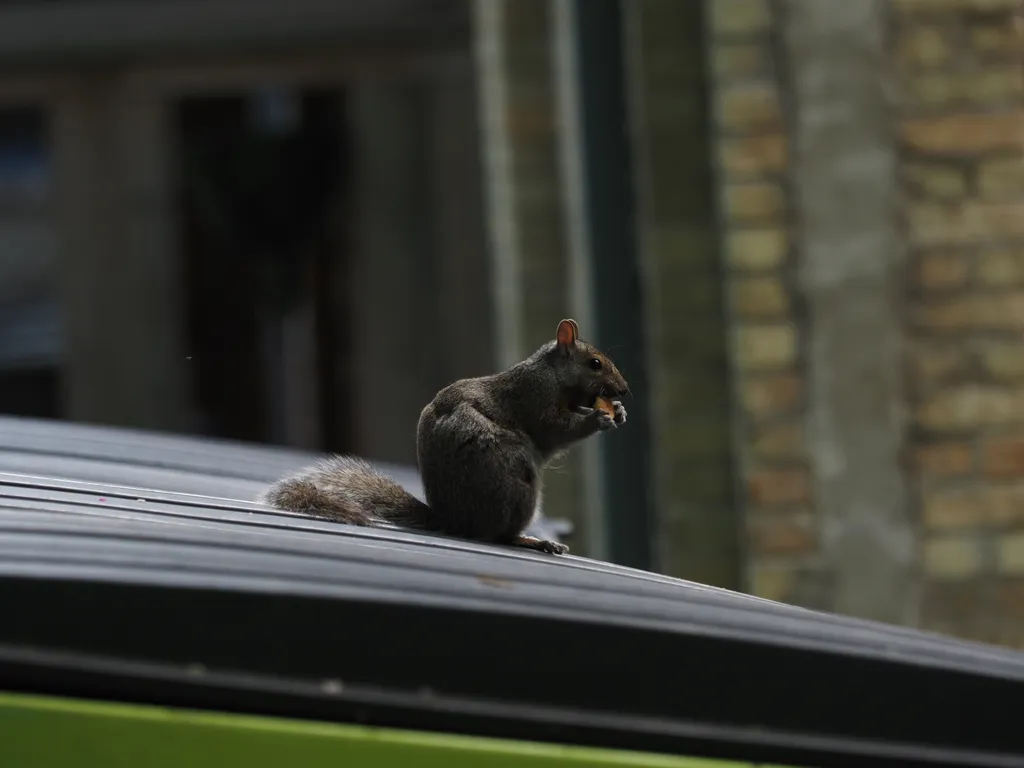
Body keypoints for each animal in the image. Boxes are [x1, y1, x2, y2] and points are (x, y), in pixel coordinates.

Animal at [261, 319, 628, 555]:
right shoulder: (533, 400)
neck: (553, 374)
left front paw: (618, 411)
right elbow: (557, 430)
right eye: (595, 363)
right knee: (497, 536)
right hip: (516, 488)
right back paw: (532, 541)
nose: (624, 390)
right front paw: (598, 417)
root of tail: (455, 521)